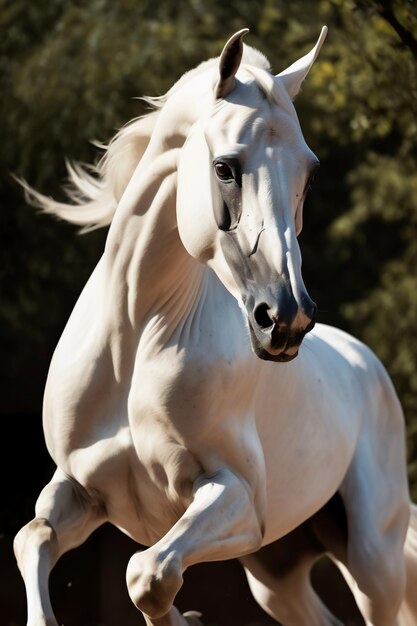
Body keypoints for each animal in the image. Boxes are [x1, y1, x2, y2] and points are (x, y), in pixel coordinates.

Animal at [14, 25, 416, 624]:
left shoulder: (238, 499)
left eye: (310, 171)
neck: (134, 345)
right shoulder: (80, 490)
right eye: (225, 167)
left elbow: (149, 575)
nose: (286, 320)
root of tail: (364, 363)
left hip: (371, 559)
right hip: (276, 569)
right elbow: (34, 538)